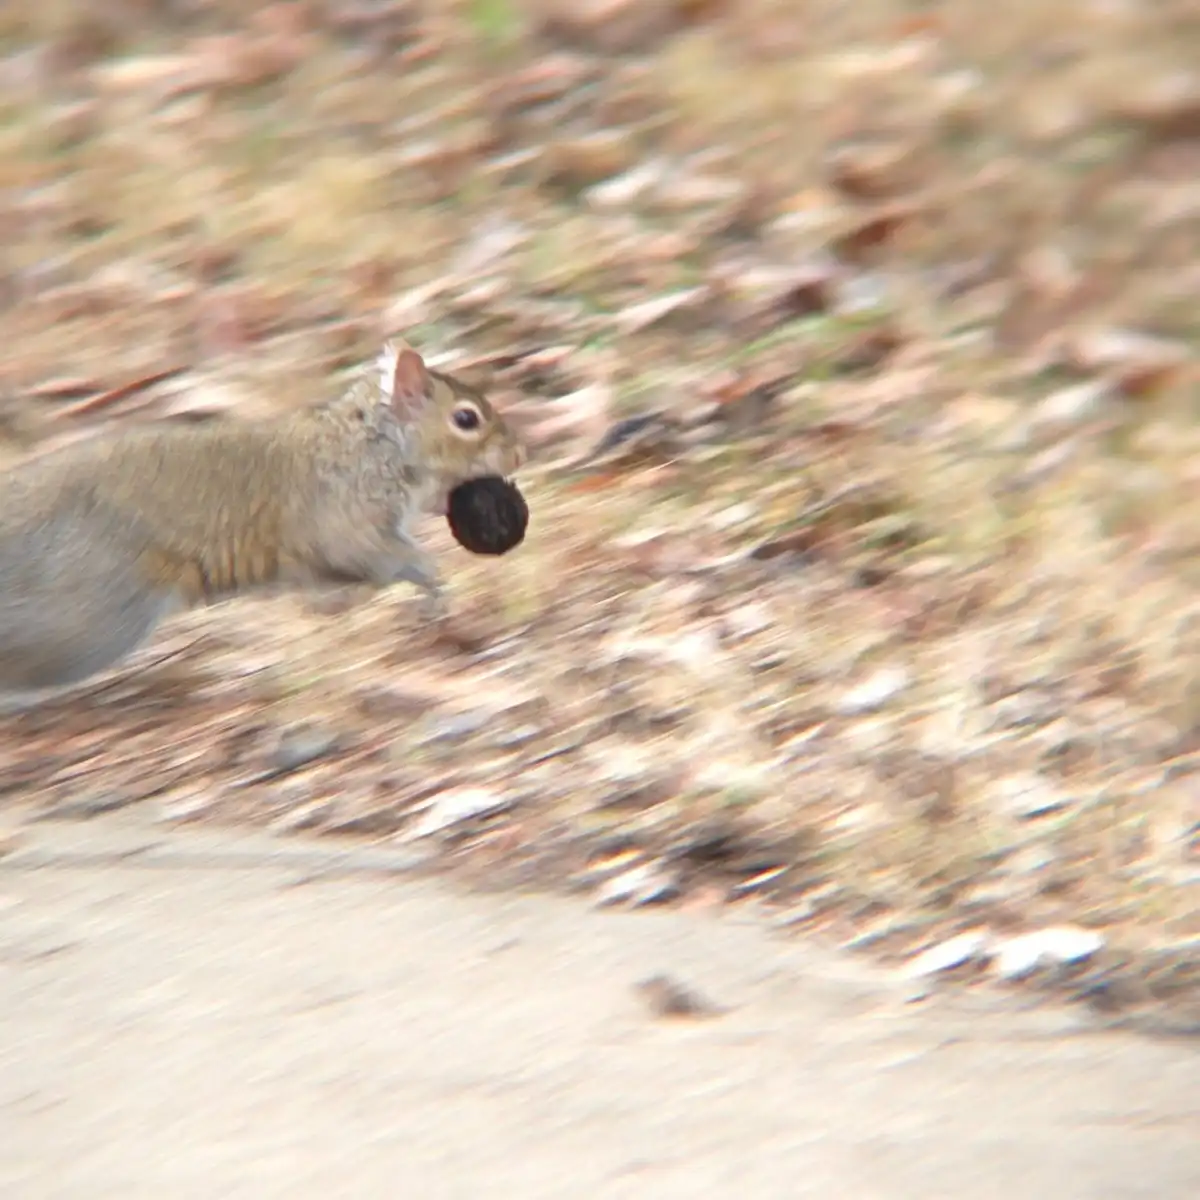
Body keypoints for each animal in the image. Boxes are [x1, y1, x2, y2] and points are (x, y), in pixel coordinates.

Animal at [0, 340, 525, 706]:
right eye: (466, 419)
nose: (518, 454)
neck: (369, 444)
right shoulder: (345, 520)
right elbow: (387, 558)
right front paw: (434, 585)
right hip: (92, 617)